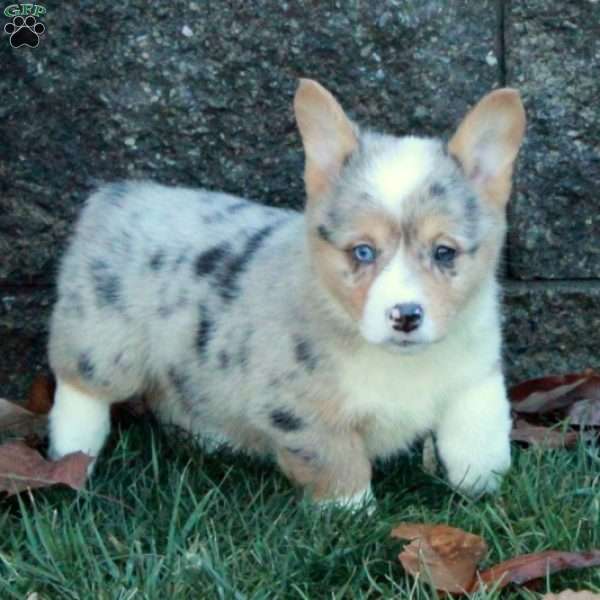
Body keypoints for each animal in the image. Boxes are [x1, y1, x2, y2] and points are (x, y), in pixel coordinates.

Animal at [48, 79, 524, 508]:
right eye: (363, 251)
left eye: (444, 252)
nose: (405, 316)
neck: (400, 362)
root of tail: (116, 195)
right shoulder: (303, 413)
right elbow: (339, 468)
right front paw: (353, 516)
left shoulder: (476, 374)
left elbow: (479, 434)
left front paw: (482, 488)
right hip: (102, 344)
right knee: (81, 391)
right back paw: (73, 457)